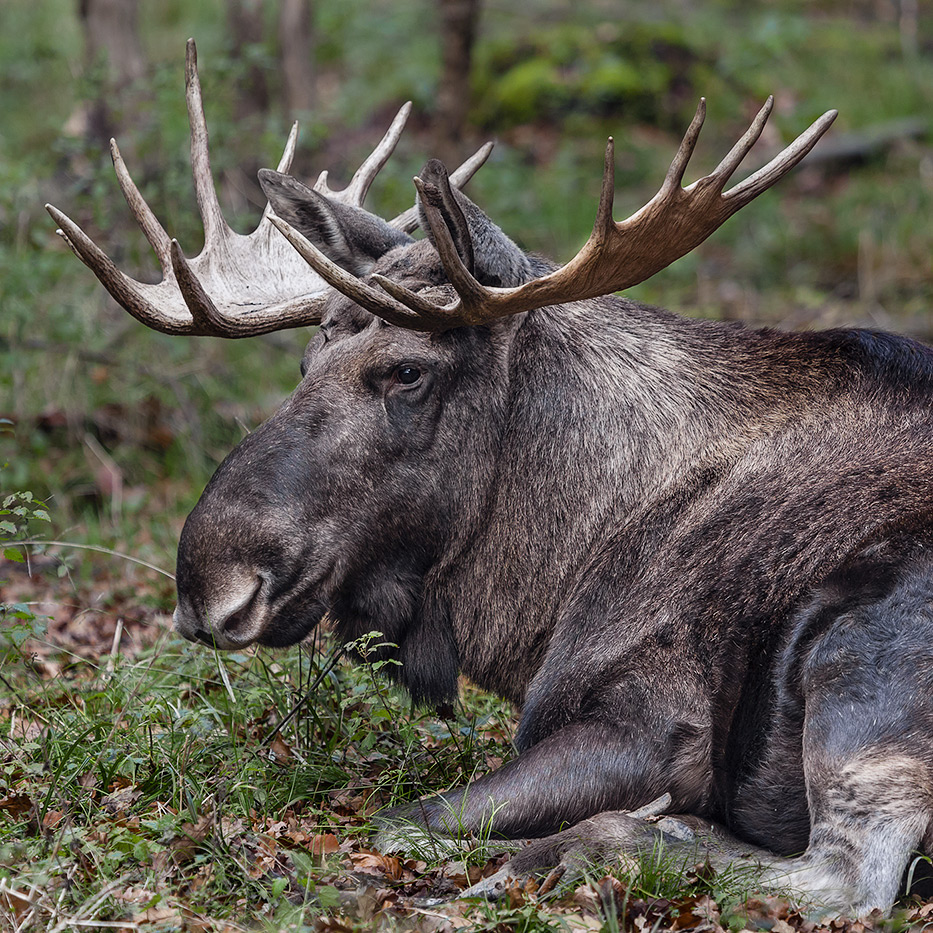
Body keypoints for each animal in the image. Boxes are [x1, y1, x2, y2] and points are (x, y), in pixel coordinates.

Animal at [45, 40, 933, 912]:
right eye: (306, 358)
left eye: (407, 369)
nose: (211, 583)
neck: (555, 568)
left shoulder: (652, 724)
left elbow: (405, 817)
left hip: (855, 662)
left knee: (846, 878)